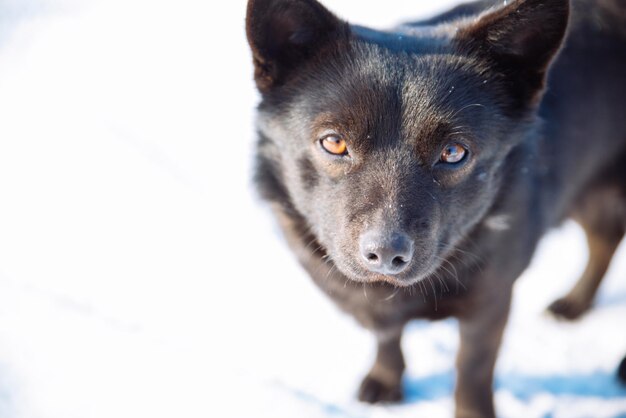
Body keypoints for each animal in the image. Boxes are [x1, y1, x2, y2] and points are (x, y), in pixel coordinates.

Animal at [244, 1, 624, 416]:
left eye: (454, 152)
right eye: (334, 142)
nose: (386, 254)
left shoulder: (491, 302)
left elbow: (471, 373)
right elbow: (388, 335)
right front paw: (386, 380)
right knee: (605, 239)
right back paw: (575, 304)